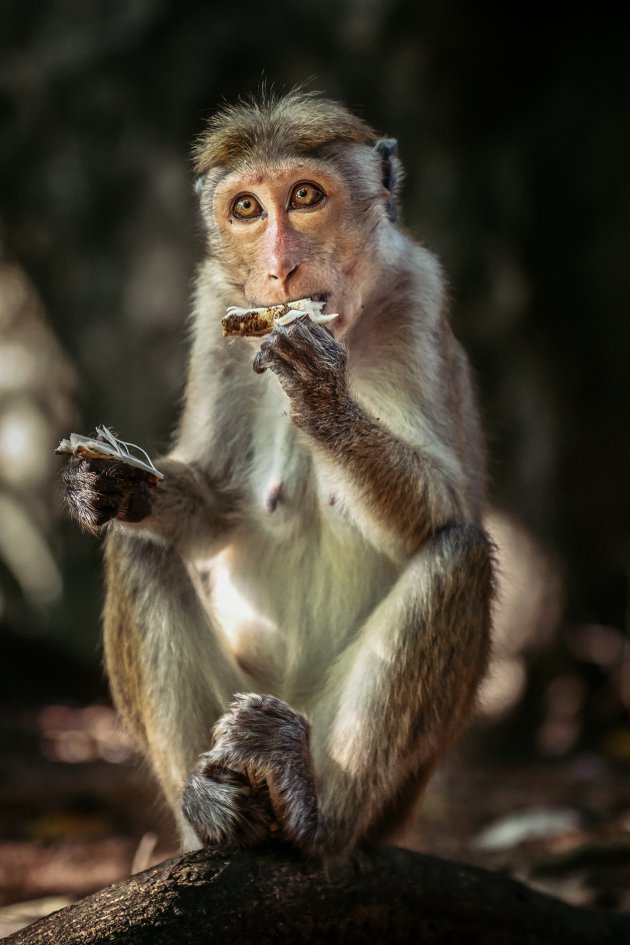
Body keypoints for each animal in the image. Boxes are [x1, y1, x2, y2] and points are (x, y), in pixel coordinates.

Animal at [65, 88, 498, 856]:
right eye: (246, 209)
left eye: (304, 197)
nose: (280, 269)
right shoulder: (216, 305)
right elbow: (213, 501)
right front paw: (110, 484)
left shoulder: (419, 291)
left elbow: (448, 506)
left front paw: (323, 398)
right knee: (137, 549)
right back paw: (213, 810)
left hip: (384, 785)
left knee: (460, 555)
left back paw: (311, 809)